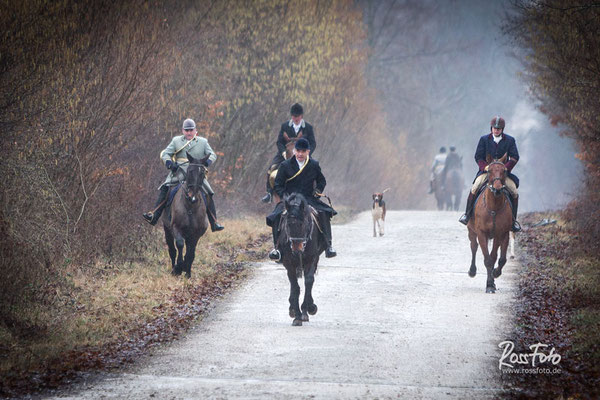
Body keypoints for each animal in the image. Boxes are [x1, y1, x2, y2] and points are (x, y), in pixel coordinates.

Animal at [278, 192, 328, 326]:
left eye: (302, 223)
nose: (297, 249)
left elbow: (308, 281)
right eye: (288, 224)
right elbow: (295, 287)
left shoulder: (311, 259)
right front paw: (297, 315)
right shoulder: (289, 263)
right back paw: (292, 309)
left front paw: (308, 309)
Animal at [468, 155, 510, 292]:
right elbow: (487, 259)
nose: (497, 188)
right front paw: (490, 285)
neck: (494, 208)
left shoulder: (501, 233)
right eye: (489, 170)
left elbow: (497, 258)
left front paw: (493, 277)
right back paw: (472, 271)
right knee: (474, 246)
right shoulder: (481, 233)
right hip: (471, 231)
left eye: (504, 171)